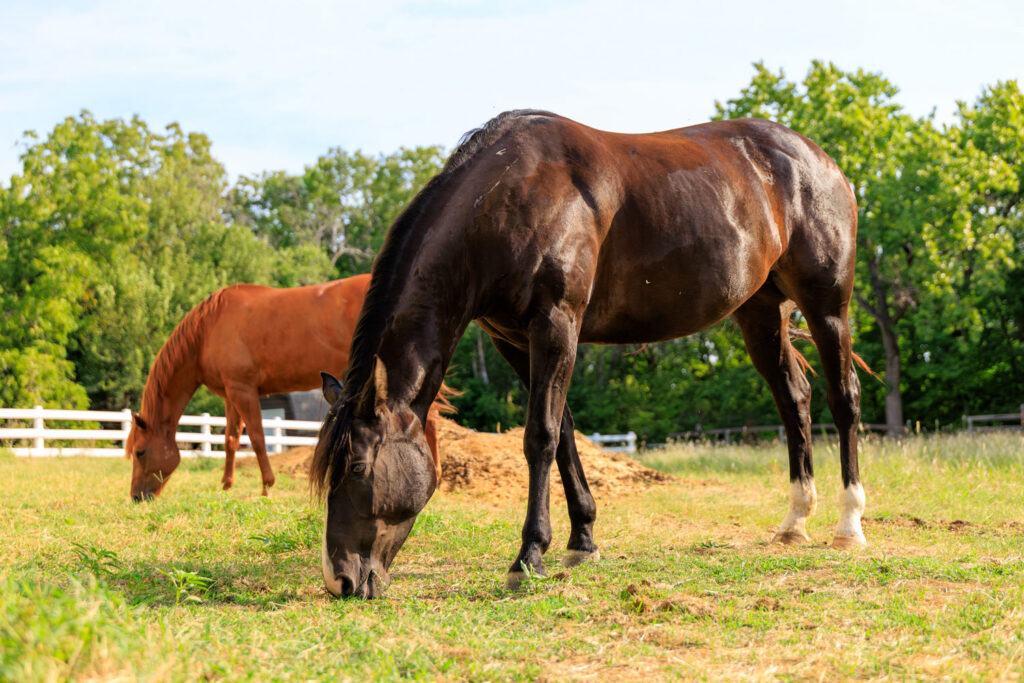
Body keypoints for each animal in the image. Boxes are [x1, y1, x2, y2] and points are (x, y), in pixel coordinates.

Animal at [126, 274, 451, 501]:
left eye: (140, 452)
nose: (137, 497)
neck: (208, 329)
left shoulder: (244, 390)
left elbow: (257, 437)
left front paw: (266, 487)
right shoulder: (231, 394)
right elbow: (231, 439)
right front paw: (226, 486)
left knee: (429, 417)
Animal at [312, 110, 867, 599]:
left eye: (357, 468)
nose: (341, 581)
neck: (506, 199)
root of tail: (820, 159)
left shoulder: (557, 324)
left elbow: (539, 436)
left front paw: (528, 558)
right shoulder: (514, 340)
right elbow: (564, 434)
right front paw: (582, 541)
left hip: (827, 307)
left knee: (844, 399)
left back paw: (849, 525)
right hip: (760, 312)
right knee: (794, 399)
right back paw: (794, 522)